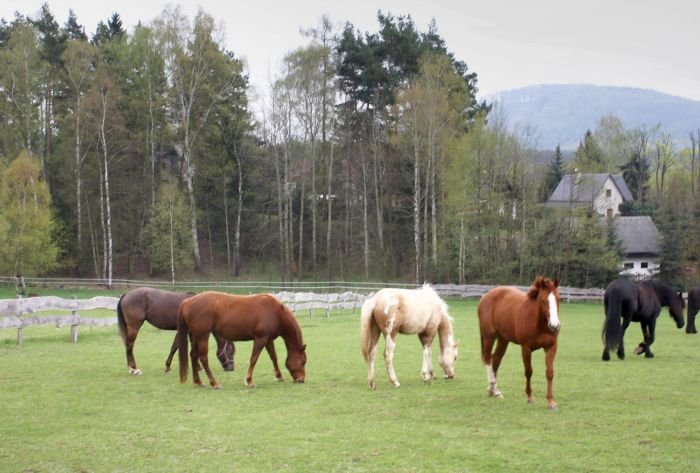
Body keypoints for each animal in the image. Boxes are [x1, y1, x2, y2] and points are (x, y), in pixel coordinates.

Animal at [177, 291, 306, 389]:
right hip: (203, 336)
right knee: (203, 358)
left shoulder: (268, 339)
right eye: (303, 361)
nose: (301, 379)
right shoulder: (260, 339)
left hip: (195, 336)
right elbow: (254, 359)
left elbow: (273, 357)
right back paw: (214, 383)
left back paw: (198, 381)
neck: (276, 312)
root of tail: (187, 302)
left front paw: (279, 376)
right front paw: (249, 381)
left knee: (193, 355)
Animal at [477, 276, 561, 410]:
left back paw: (494, 391)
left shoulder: (551, 347)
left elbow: (549, 373)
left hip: (503, 339)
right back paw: (492, 386)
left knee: (496, 360)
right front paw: (530, 397)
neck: (539, 323)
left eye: (559, 299)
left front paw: (551, 402)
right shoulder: (526, 348)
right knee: (488, 359)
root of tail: (485, 296)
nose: (554, 326)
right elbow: (528, 372)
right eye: (543, 301)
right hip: (489, 337)